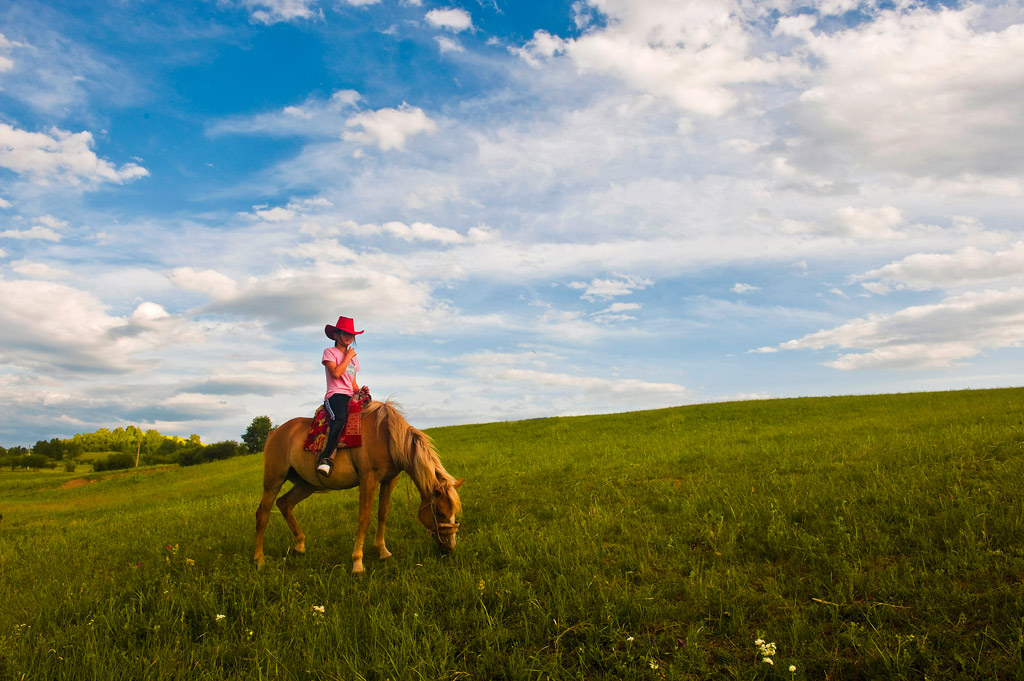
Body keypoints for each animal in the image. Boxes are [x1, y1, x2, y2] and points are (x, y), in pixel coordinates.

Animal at [256, 401, 464, 569]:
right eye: (440, 513)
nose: (451, 547)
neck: (387, 438)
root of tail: (274, 433)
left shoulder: (389, 480)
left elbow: (382, 514)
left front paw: (383, 551)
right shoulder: (368, 479)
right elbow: (364, 518)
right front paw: (357, 562)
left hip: (306, 484)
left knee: (284, 504)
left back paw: (299, 545)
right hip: (274, 480)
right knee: (263, 513)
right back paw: (259, 559)